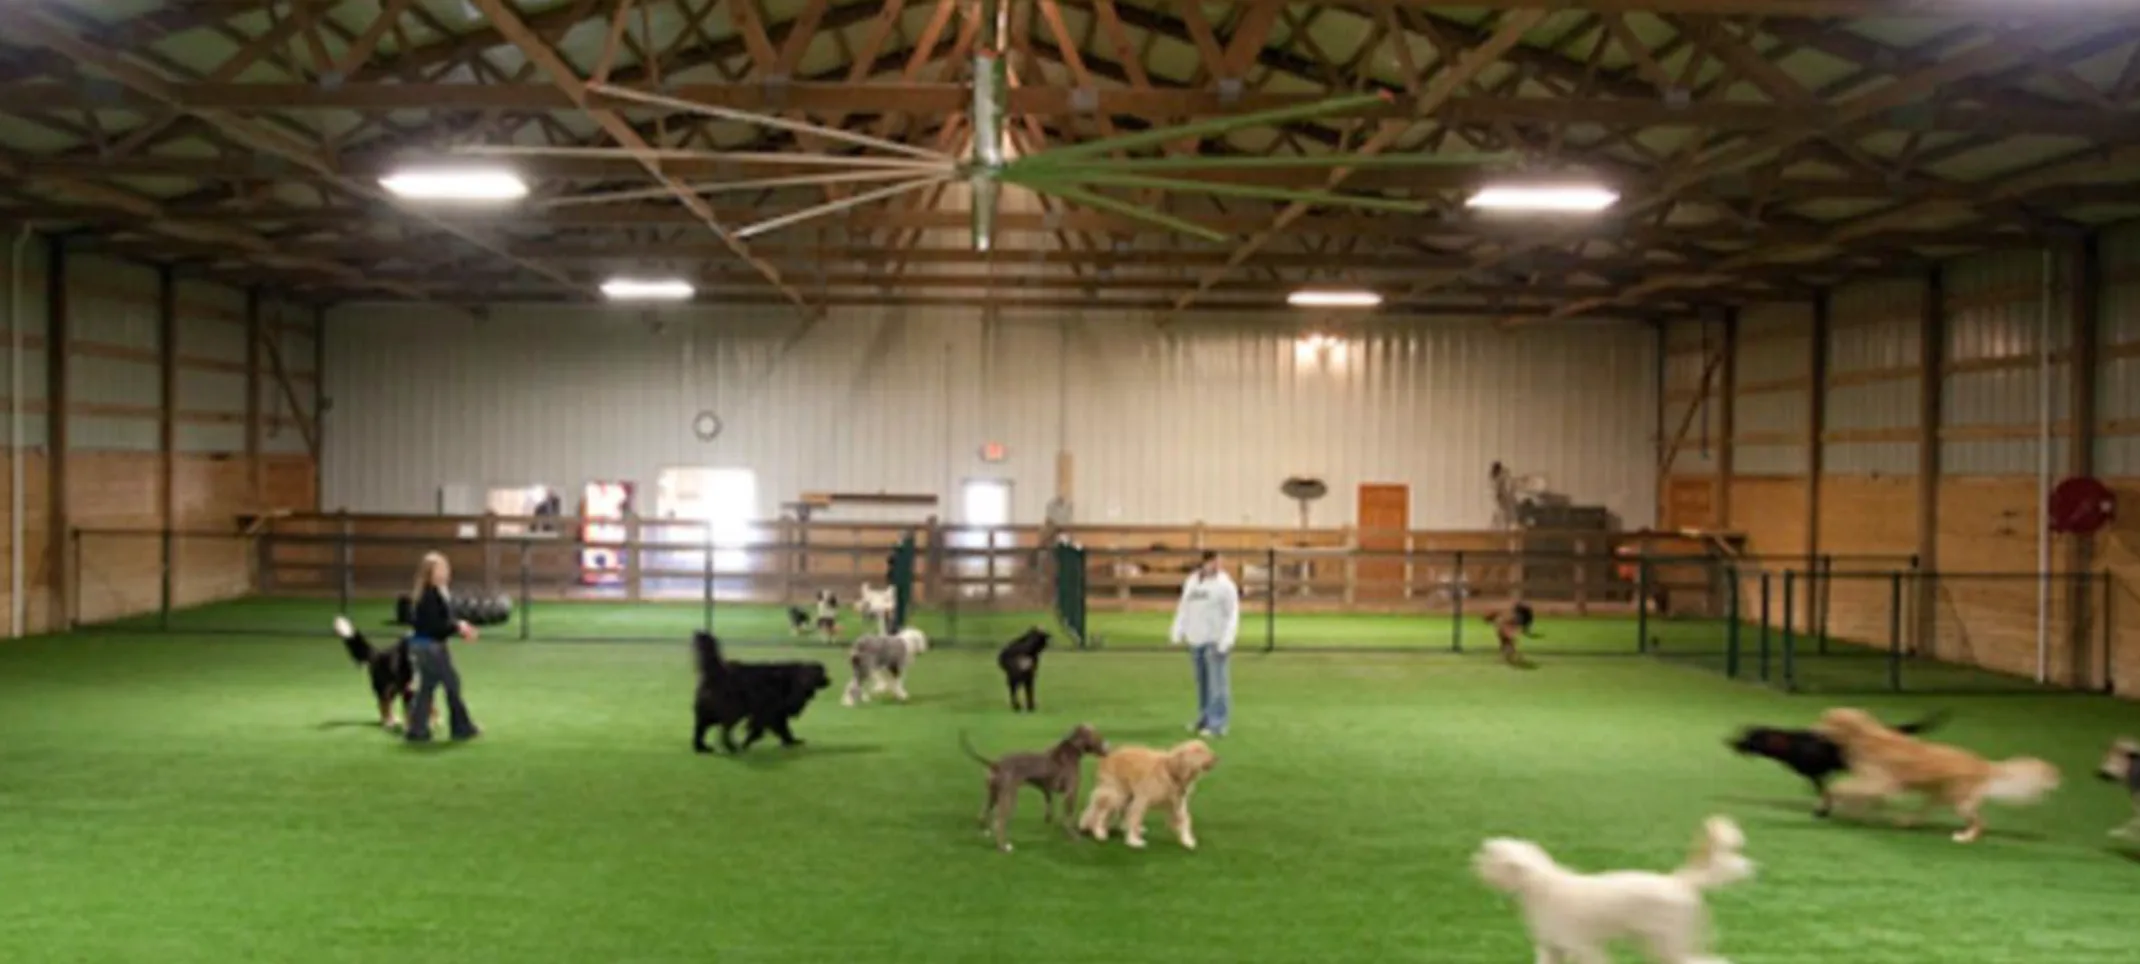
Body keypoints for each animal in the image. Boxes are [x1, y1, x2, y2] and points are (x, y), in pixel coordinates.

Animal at [701, 629, 834, 758]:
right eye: (822, 674)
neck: (794, 679)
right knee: (725, 729)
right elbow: (769, 727)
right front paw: (747, 743)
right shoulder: (768, 710)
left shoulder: (775, 711)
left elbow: (781, 727)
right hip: (734, 710)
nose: (830, 680)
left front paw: (789, 741)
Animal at [963, 724, 1112, 852]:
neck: (1072, 752)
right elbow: (1068, 818)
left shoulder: (1048, 790)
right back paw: (1003, 847)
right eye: (1099, 736)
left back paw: (986, 834)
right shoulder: (1071, 792)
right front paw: (1074, 837)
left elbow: (1050, 806)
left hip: (992, 794)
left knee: (983, 815)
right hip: (1008, 796)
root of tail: (995, 764)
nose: (1109, 747)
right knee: (999, 822)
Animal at [1078, 741, 1215, 848]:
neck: (1171, 772)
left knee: (1121, 811)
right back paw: (1099, 832)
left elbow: (1185, 820)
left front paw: (1187, 840)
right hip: (1116, 793)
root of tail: (1107, 756)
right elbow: (1135, 818)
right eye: (1198, 751)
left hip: (1127, 795)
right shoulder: (1142, 799)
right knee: (1100, 812)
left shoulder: (1178, 803)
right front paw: (1134, 841)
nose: (1216, 758)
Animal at [1472, 814, 1754, 964]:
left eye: (1490, 856)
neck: (1542, 887)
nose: (1473, 860)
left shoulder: (1582, 947)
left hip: (1668, 944)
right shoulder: (1552, 948)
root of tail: (1679, 881)